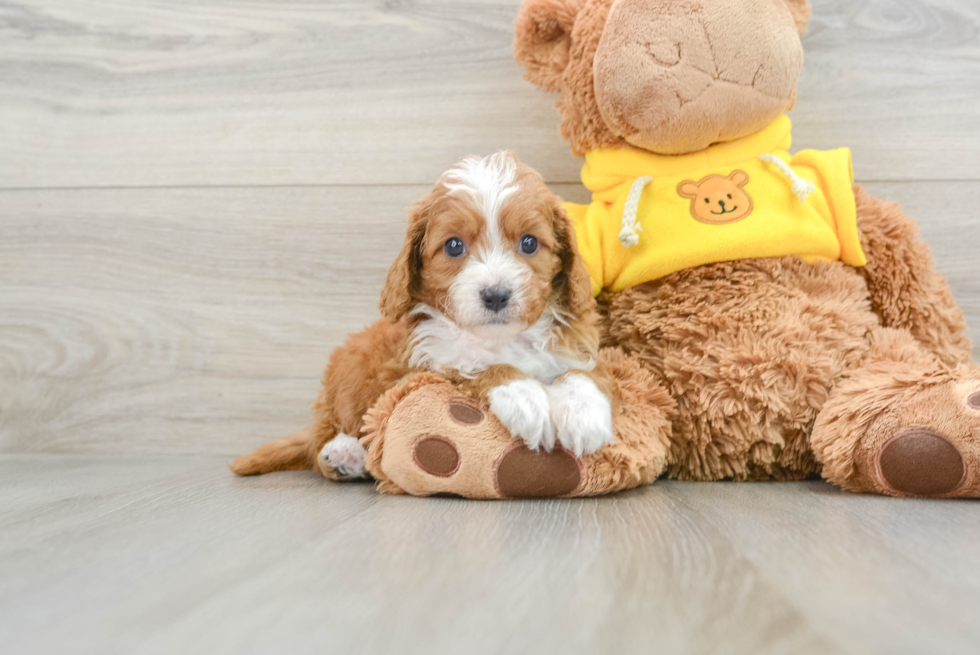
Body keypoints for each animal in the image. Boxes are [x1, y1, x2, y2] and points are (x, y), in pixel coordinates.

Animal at [232, 152, 612, 482]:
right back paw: (345, 455)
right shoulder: (421, 367)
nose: (495, 295)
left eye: (530, 243)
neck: (499, 338)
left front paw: (585, 411)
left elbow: (578, 372)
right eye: (454, 245)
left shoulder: (571, 346)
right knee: (317, 449)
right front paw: (522, 395)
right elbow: (472, 366)